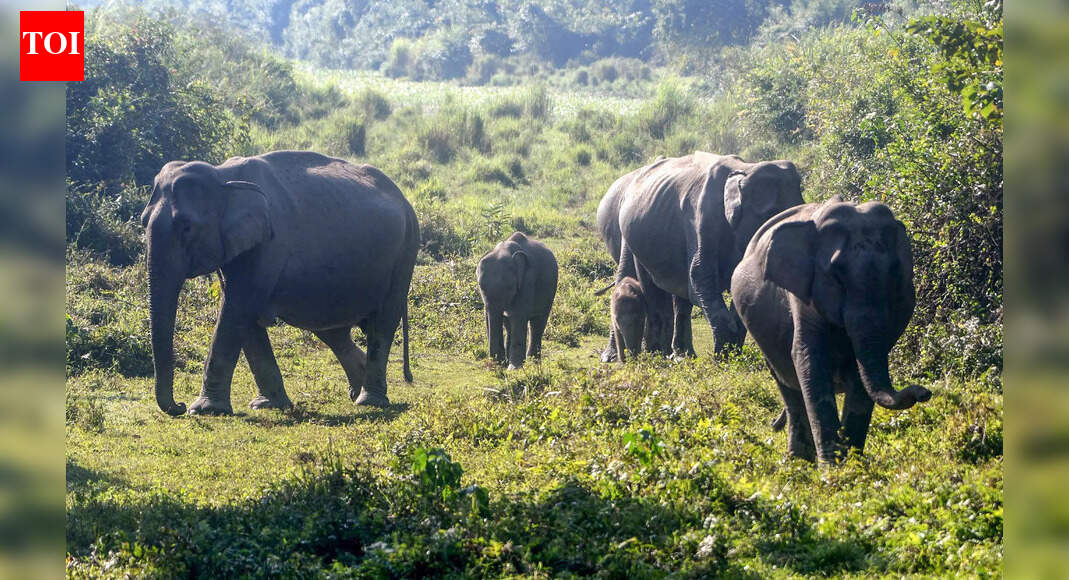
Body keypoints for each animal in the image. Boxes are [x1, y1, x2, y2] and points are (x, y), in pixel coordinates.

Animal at [140, 151, 419, 416]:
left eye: (186, 227)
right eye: (143, 221)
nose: (177, 406)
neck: (222, 175)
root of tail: (405, 201)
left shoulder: (269, 244)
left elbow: (237, 308)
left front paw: (205, 409)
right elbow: (241, 312)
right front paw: (267, 405)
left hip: (405, 253)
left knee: (383, 322)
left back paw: (369, 400)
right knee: (332, 330)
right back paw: (357, 390)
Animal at [477, 232, 558, 369]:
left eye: (509, 287)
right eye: (480, 286)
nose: (492, 365)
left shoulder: (528, 281)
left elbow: (518, 316)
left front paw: (513, 369)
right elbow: (492, 317)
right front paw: (502, 365)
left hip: (549, 292)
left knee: (537, 323)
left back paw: (533, 362)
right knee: (509, 324)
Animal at [596, 152, 803, 361]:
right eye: (770, 215)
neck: (745, 169)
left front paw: (731, 353)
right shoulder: (702, 218)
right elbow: (699, 277)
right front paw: (723, 358)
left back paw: (680, 355)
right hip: (634, 239)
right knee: (650, 288)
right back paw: (645, 355)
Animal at [730, 196, 932, 464]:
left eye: (893, 270)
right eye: (837, 273)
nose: (924, 393)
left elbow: (860, 372)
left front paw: (853, 465)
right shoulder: (802, 293)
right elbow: (809, 360)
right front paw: (833, 468)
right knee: (788, 386)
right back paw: (798, 461)